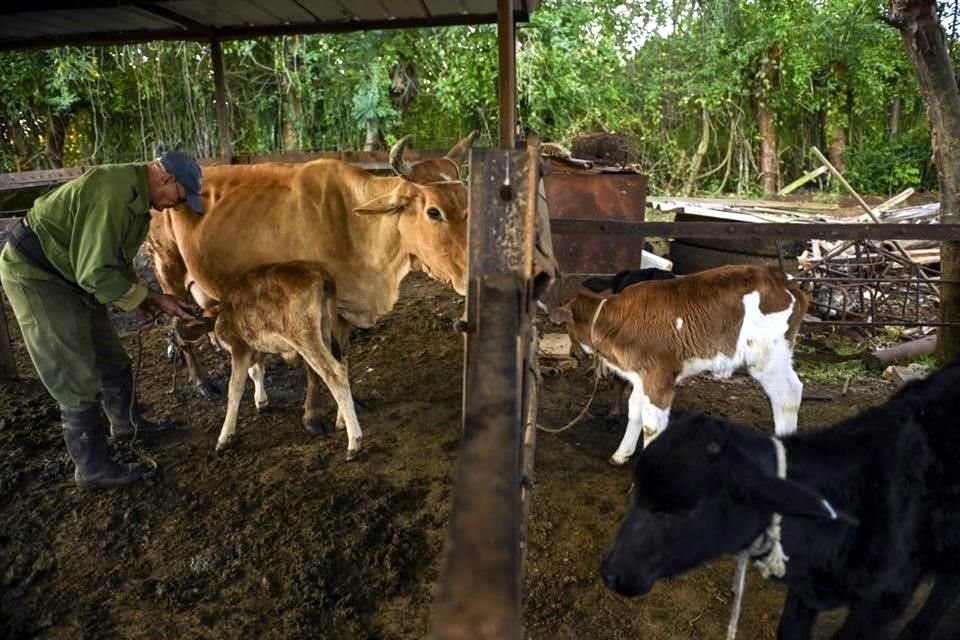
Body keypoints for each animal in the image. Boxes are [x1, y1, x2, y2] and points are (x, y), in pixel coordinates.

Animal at [212, 260, 362, 460]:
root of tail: (321, 275)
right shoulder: (256, 347)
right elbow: (256, 371)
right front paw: (261, 401)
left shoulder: (239, 347)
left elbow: (234, 389)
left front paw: (224, 437)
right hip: (326, 327)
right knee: (342, 362)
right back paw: (341, 421)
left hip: (303, 334)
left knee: (334, 373)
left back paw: (353, 443)